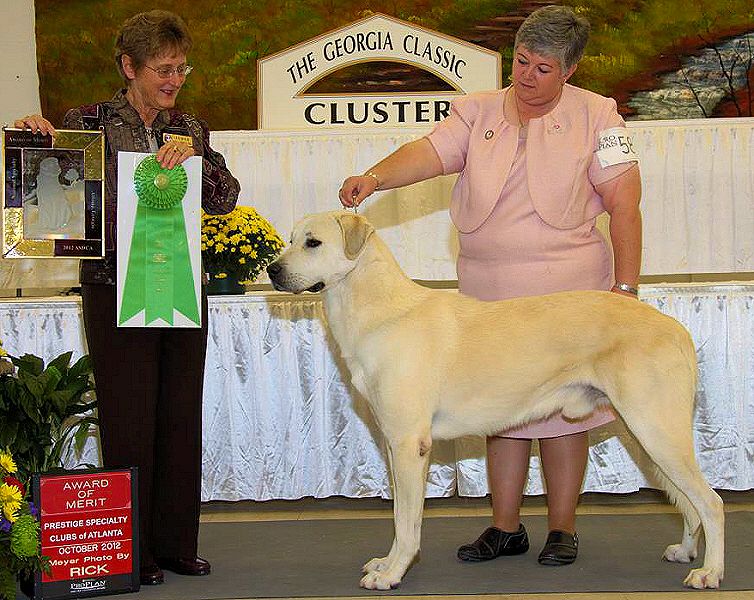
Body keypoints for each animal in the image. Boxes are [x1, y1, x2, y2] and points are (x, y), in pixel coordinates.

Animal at [264, 211, 724, 592]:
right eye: (289, 240)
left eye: (313, 242)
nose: (272, 269)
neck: (378, 308)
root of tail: (675, 327)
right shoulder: (394, 445)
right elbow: (398, 517)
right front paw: (386, 563)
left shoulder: (410, 445)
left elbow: (407, 520)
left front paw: (393, 574)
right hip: (649, 438)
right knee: (689, 504)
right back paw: (685, 552)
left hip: (657, 431)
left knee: (711, 503)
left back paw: (709, 572)